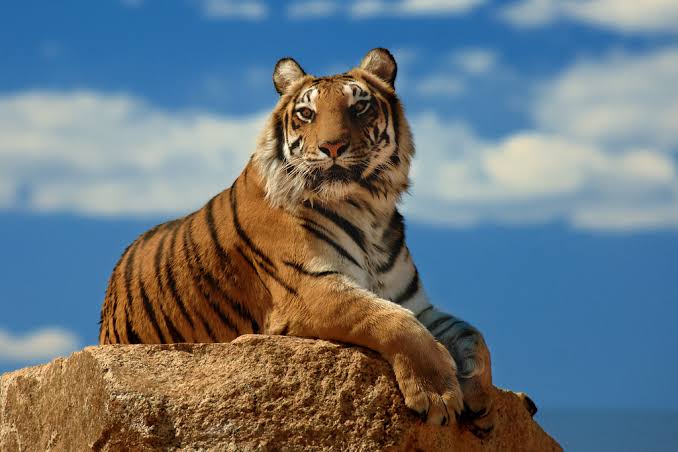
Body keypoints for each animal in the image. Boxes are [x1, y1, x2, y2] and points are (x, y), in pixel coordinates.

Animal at [98, 48, 495, 435]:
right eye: (307, 113)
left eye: (359, 107)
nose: (332, 147)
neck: (369, 211)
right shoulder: (311, 288)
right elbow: (395, 322)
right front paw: (438, 394)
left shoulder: (414, 301)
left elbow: (473, 335)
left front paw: (480, 399)